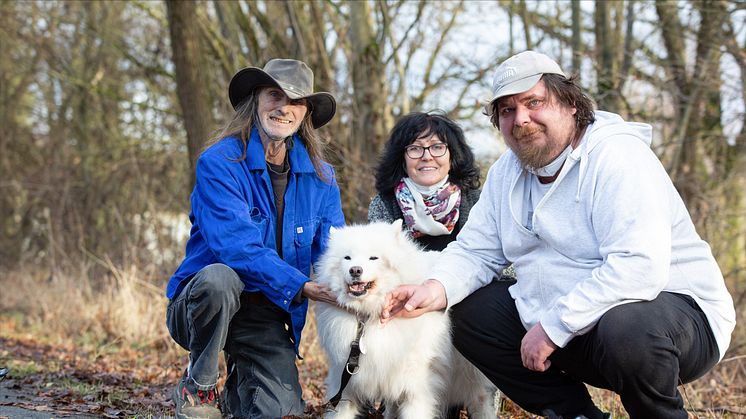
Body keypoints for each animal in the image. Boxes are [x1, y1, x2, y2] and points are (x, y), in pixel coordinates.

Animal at [312, 221, 494, 418]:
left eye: (373, 258)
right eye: (347, 258)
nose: (355, 270)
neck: (368, 316)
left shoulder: (417, 388)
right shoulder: (345, 383)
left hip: (468, 374)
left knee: (480, 399)